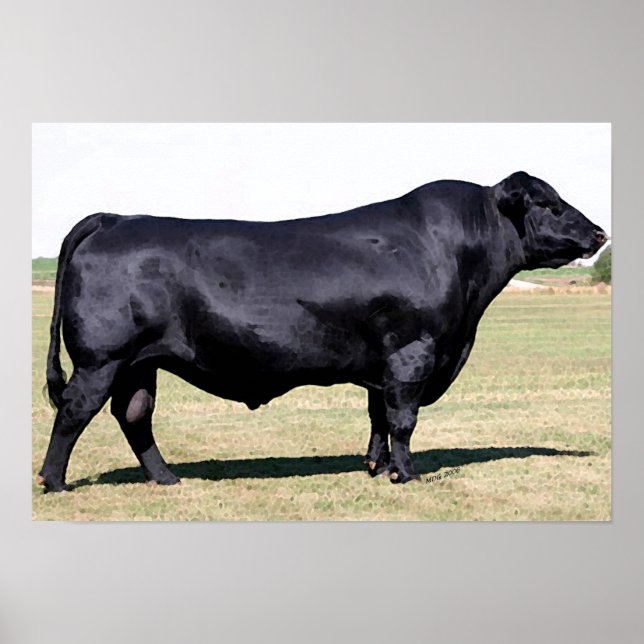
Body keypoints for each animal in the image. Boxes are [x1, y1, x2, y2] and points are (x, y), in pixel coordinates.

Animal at [37, 171, 608, 492]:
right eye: (550, 204)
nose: (599, 231)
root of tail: (116, 218)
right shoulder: (414, 353)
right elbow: (404, 420)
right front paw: (408, 475)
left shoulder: (384, 364)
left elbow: (379, 417)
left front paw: (377, 467)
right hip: (103, 358)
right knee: (75, 411)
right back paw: (55, 482)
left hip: (141, 363)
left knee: (135, 416)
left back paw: (166, 478)